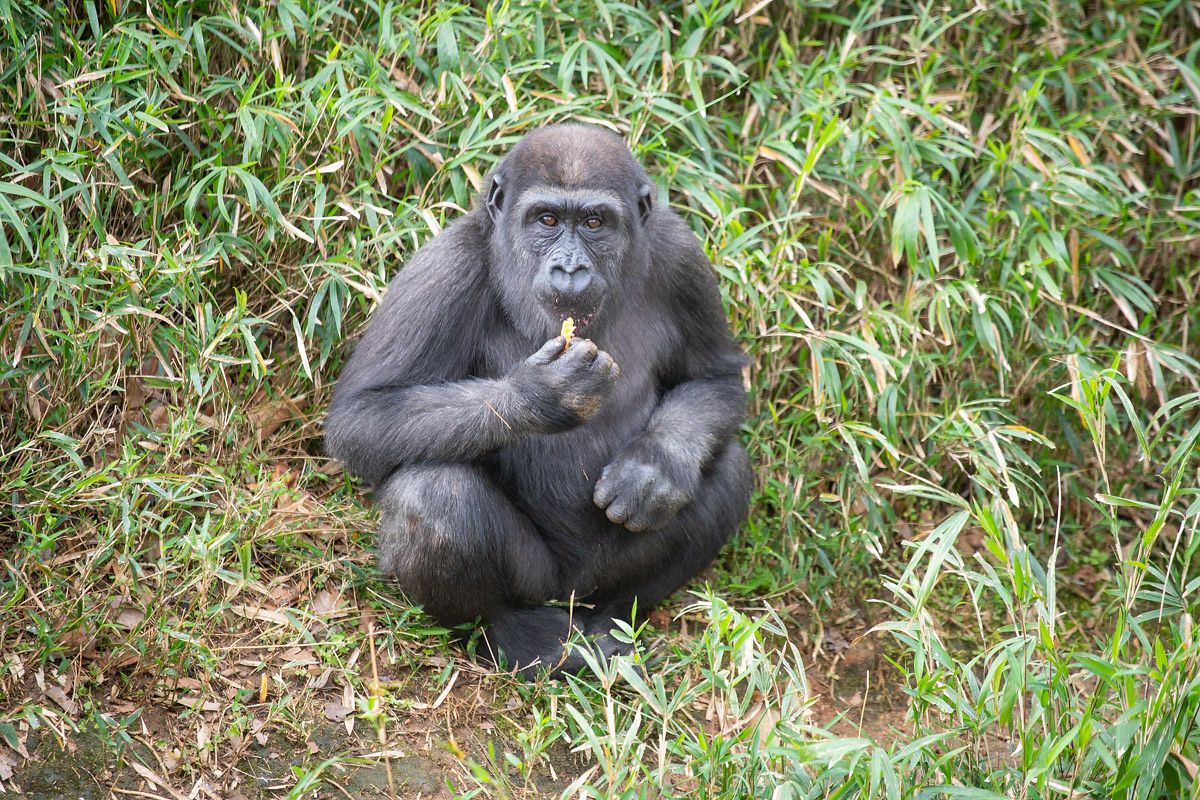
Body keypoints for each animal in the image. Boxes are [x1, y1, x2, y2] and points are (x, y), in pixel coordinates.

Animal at [326, 122, 748, 681]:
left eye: (594, 222)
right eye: (546, 219)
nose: (570, 268)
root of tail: (570, 598)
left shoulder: (682, 256)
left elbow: (713, 376)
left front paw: (654, 469)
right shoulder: (444, 267)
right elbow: (362, 416)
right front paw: (541, 395)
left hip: (596, 583)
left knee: (728, 470)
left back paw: (614, 620)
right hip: (539, 585)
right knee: (434, 496)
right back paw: (518, 633)